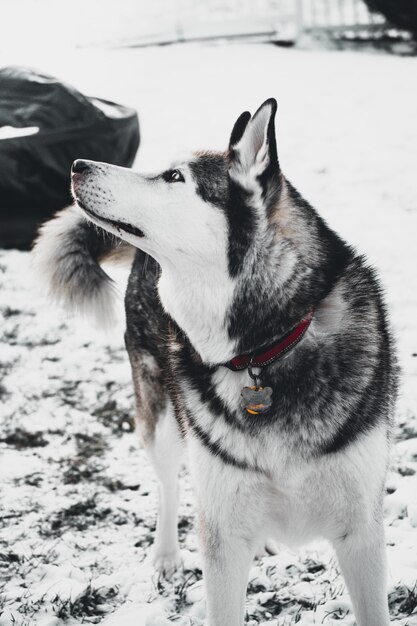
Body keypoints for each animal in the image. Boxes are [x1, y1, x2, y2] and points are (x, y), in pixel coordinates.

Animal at [33, 100, 396, 620]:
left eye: (173, 176)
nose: (77, 165)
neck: (264, 347)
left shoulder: (361, 532)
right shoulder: (221, 536)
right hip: (163, 422)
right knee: (168, 486)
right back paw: (166, 556)